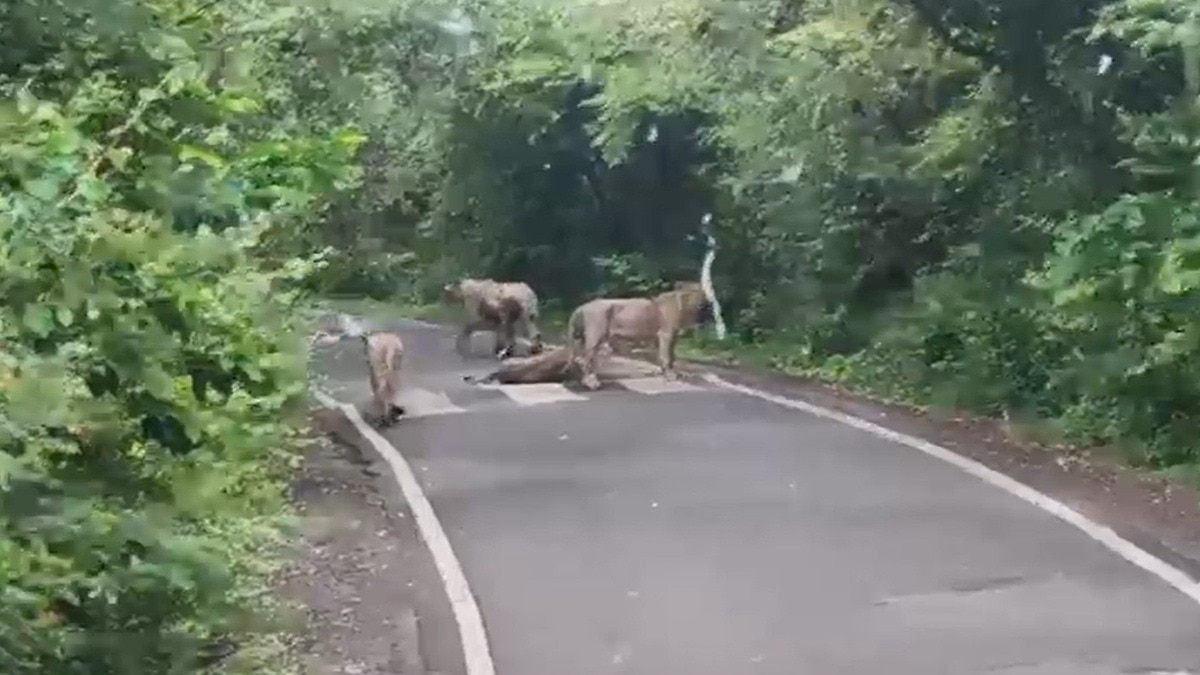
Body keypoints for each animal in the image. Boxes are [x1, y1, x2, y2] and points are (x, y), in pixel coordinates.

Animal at [567, 281, 709, 390]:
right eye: (690, 294)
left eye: (700, 294)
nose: (699, 304)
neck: (683, 308)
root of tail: (582, 306)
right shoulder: (665, 335)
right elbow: (666, 357)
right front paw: (670, 375)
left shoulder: (670, 338)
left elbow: (670, 356)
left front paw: (667, 372)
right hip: (595, 337)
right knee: (585, 360)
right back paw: (591, 384)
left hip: (581, 339)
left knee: (579, 359)